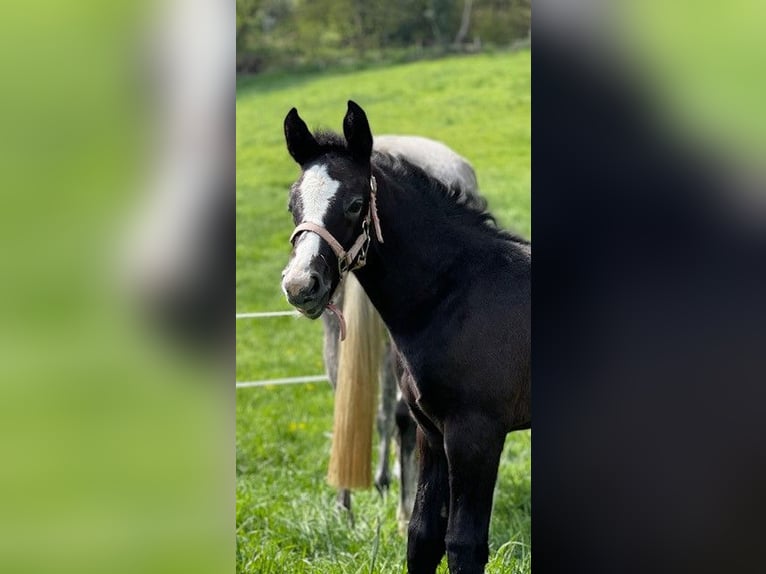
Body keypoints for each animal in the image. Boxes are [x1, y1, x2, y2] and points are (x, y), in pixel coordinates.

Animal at [284, 101, 536, 572]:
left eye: (355, 203)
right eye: (293, 203)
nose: (300, 285)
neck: (459, 291)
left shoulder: (475, 434)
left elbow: (463, 544)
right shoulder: (430, 432)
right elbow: (422, 536)